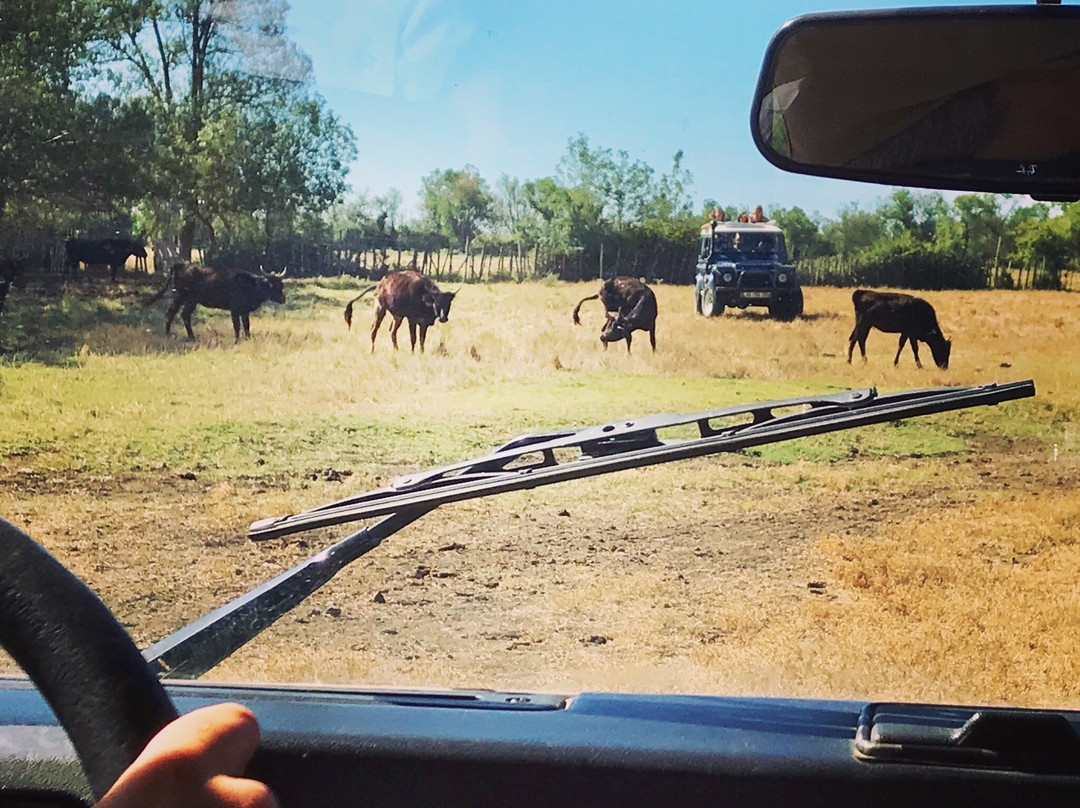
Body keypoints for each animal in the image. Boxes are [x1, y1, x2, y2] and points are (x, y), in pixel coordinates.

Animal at [145, 264, 287, 341]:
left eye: (282, 285)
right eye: (272, 285)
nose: (283, 298)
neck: (250, 285)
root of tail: (181, 265)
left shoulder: (244, 311)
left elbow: (246, 326)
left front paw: (248, 339)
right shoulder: (235, 309)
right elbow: (237, 326)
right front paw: (236, 341)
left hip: (191, 301)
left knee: (184, 315)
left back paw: (191, 337)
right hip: (180, 297)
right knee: (172, 313)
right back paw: (170, 335)